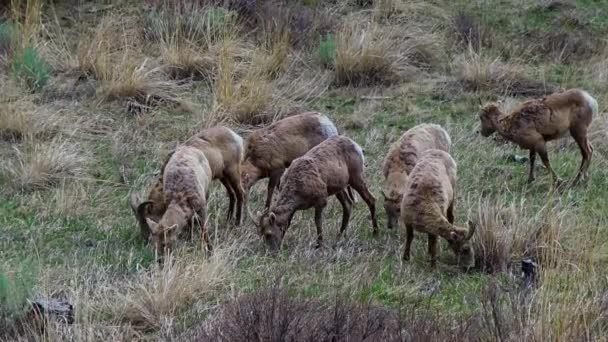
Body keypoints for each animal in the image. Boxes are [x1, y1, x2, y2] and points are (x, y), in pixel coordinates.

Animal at [131, 127, 245, 255]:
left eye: (145, 220)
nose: (145, 239)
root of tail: (235, 135)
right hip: (223, 176)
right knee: (232, 194)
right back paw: (229, 219)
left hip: (233, 172)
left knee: (240, 193)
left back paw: (238, 223)